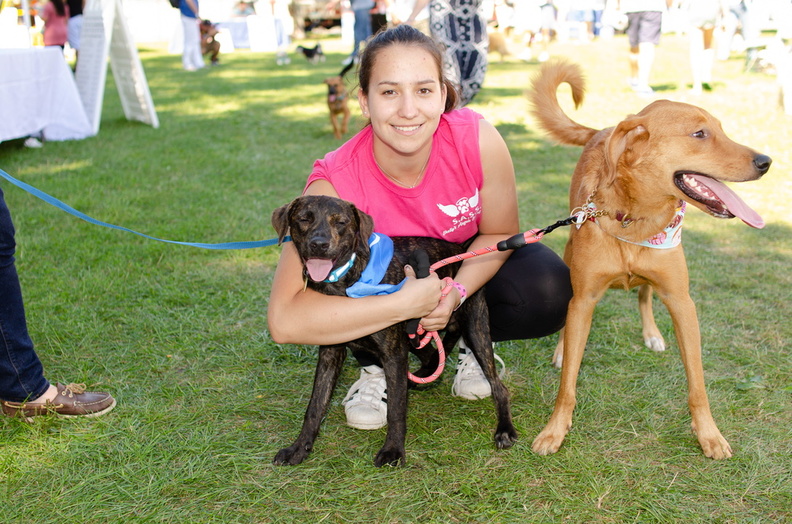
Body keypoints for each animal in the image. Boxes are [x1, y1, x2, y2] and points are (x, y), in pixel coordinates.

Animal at [272, 195, 520, 466]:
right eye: (304, 218)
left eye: (341, 222)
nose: (319, 244)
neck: (347, 281)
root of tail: (460, 251)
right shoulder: (330, 353)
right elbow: (315, 405)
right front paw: (299, 448)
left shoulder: (393, 354)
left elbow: (396, 409)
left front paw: (393, 450)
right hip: (414, 334)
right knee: (434, 356)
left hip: (475, 327)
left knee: (498, 386)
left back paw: (504, 429)